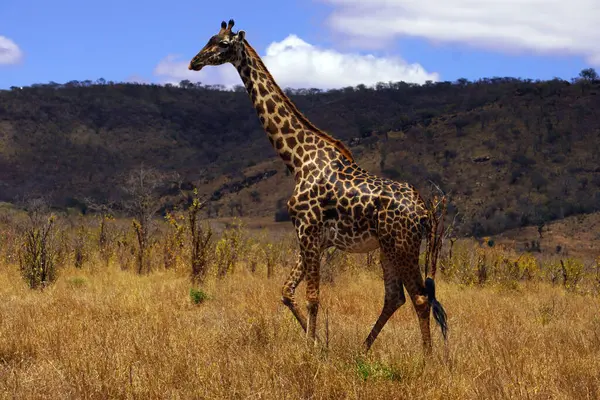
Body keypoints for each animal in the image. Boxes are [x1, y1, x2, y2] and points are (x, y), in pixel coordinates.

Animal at [190, 18, 448, 354]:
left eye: (222, 44)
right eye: (209, 38)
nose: (194, 62)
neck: (297, 159)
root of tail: (425, 212)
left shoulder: (307, 229)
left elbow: (312, 296)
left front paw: (310, 350)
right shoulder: (315, 238)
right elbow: (287, 291)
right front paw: (319, 344)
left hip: (402, 244)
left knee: (418, 297)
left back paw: (428, 358)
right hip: (387, 248)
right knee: (395, 297)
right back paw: (362, 350)